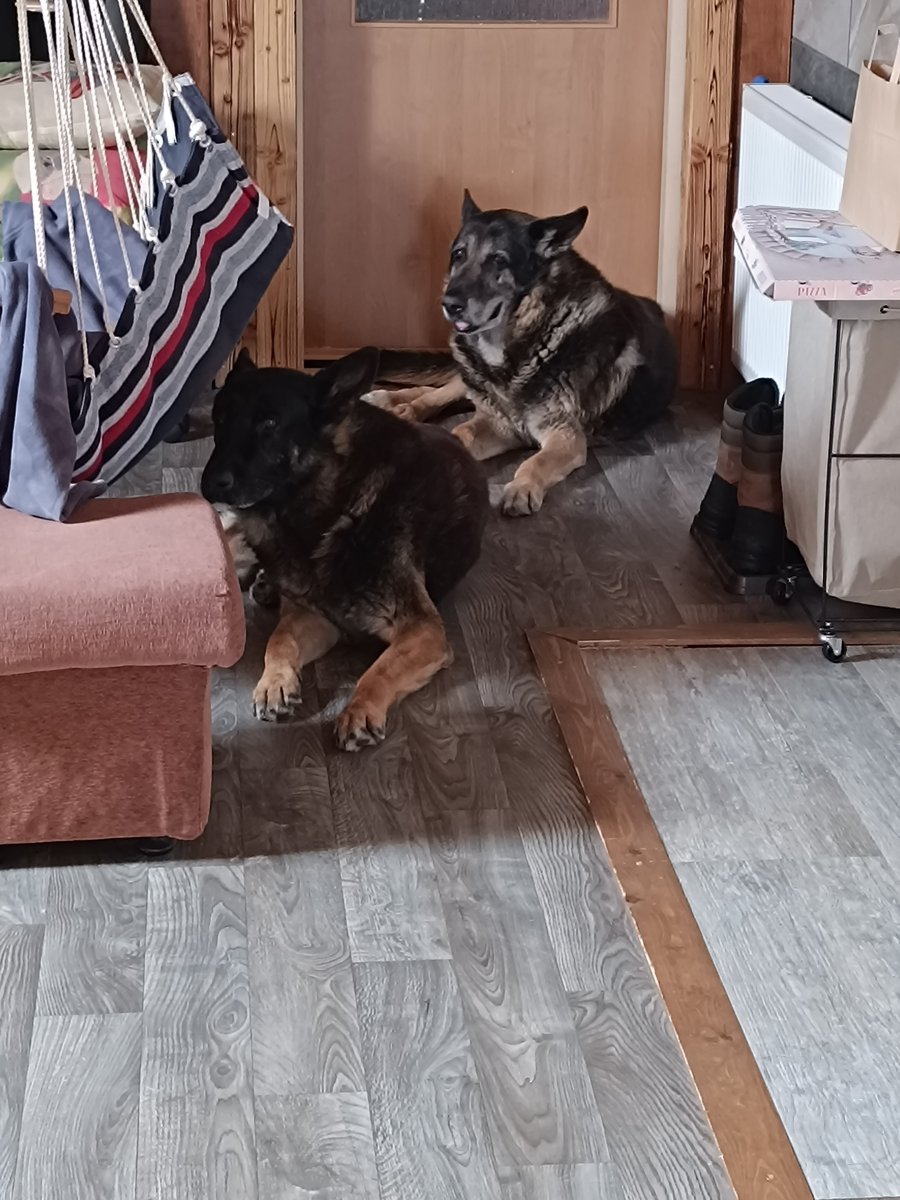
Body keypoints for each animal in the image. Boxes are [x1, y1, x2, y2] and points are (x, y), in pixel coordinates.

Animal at [200, 347, 488, 751]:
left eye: (270, 423)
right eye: (221, 419)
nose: (209, 483)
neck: (331, 509)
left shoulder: (423, 630)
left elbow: (379, 669)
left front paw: (359, 709)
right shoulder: (317, 618)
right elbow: (280, 638)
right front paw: (275, 682)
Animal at [365, 192, 678, 515]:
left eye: (498, 260)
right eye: (459, 254)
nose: (450, 304)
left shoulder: (564, 436)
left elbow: (535, 462)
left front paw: (522, 488)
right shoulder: (497, 424)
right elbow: (460, 433)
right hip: (468, 375)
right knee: (437, 393)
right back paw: (397, 403)